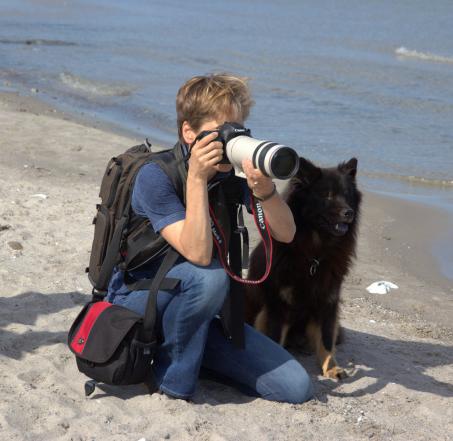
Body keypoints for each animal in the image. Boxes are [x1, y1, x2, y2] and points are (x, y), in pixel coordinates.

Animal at [245, 156, 362, 376]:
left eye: (347, 195)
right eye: (327, 195)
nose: (349, 213)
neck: (314, 254)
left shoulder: (328, 302)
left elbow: (325, 340)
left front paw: (331, 368)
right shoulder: (278, 305)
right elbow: (275, 338)